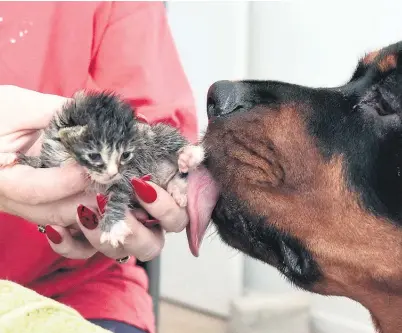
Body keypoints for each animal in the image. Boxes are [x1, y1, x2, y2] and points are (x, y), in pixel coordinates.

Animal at [8, 91, 204, 246]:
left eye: (125, 155)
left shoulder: (130, 172)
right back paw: (175, 189)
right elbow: (43, 163)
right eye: (95, 156)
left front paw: (112, 225)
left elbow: (119, 192)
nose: (112, 173)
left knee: (167, 137)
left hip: (152, 136)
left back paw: (189, 155)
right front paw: (20, 158)